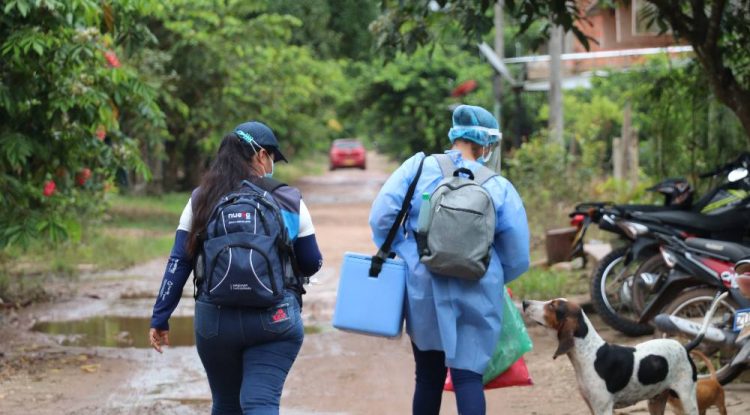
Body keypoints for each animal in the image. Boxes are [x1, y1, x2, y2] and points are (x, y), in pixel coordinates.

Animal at [524, 300, 700, 415]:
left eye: (552, 305)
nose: (525, 302)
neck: (588, 353)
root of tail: (684, 347)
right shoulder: (592, 406)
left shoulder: (603, 408)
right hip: (656, 401)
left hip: (687, 397)